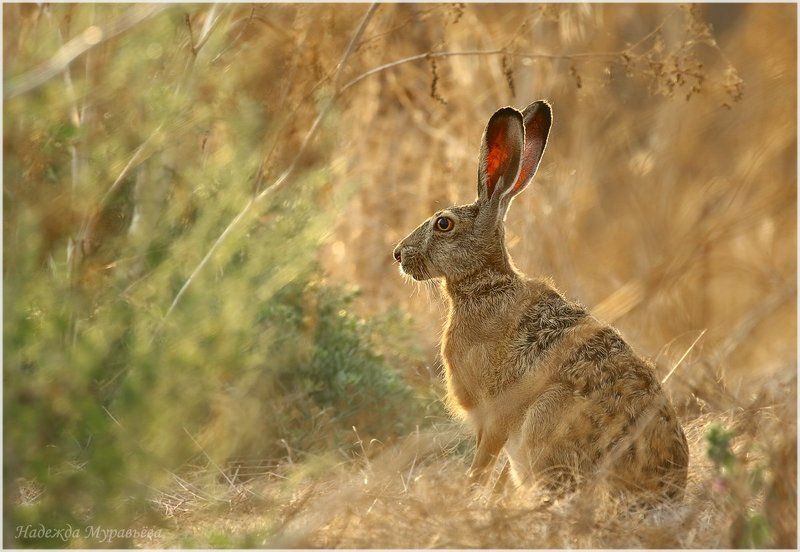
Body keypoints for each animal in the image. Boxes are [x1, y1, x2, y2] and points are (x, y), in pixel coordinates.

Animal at [392, 101, 688, 501]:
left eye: (443, 224)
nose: (398, 254)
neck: (484, 286)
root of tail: (662, 487)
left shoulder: (494, 417)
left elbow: (483, 462)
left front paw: (468, 497)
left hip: (545, 418)